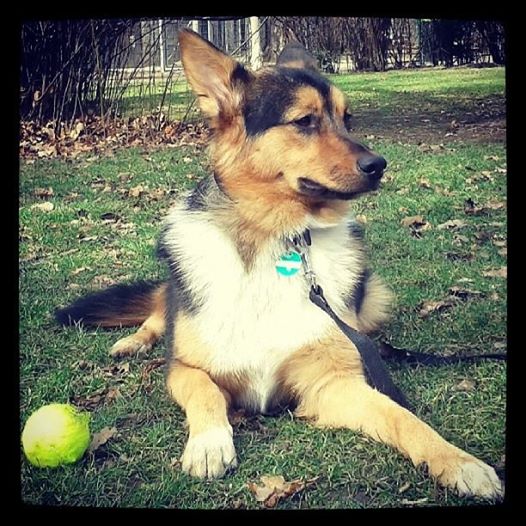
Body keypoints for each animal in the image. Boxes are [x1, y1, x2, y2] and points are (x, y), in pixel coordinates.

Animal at [55, 29, 506, 504]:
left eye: (348, 119)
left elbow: (404, 418)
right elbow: (205, 392)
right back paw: (133, 341)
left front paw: (458, 462)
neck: (279, 239)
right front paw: (210, 443)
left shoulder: (334, 385)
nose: (379, 165)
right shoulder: (184, 370)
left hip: (373, 298)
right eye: (304, 121)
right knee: (159, 311)